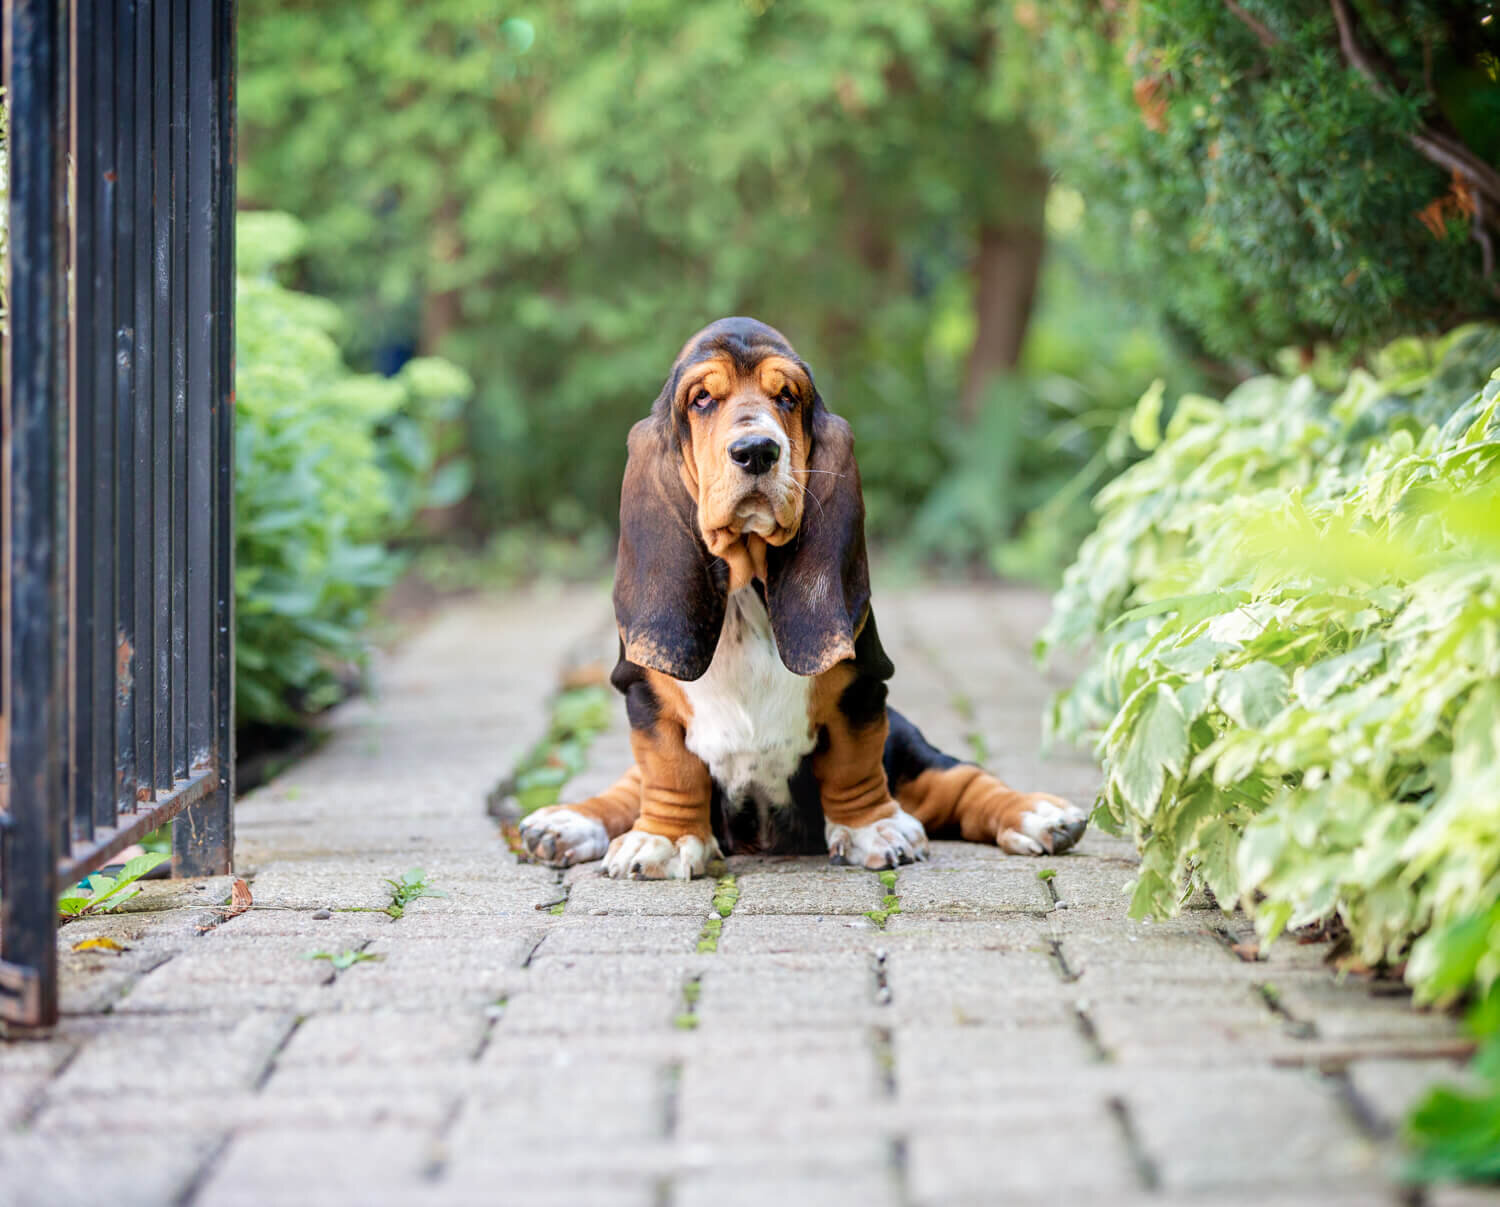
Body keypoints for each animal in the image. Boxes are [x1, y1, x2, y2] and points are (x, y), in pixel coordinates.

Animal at [522, 314, 1086, 881]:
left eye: (788, 397)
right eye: (701, 399)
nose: (757, 450)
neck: (746, 590)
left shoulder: (863, 687)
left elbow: (855, 762)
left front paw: (872, 828)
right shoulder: (647, 695)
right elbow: (668, 770)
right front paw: (663, 838)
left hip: (909, 747)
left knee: (960, 781)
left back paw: (1041, 814)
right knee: (630, 786)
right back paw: (564, 822)